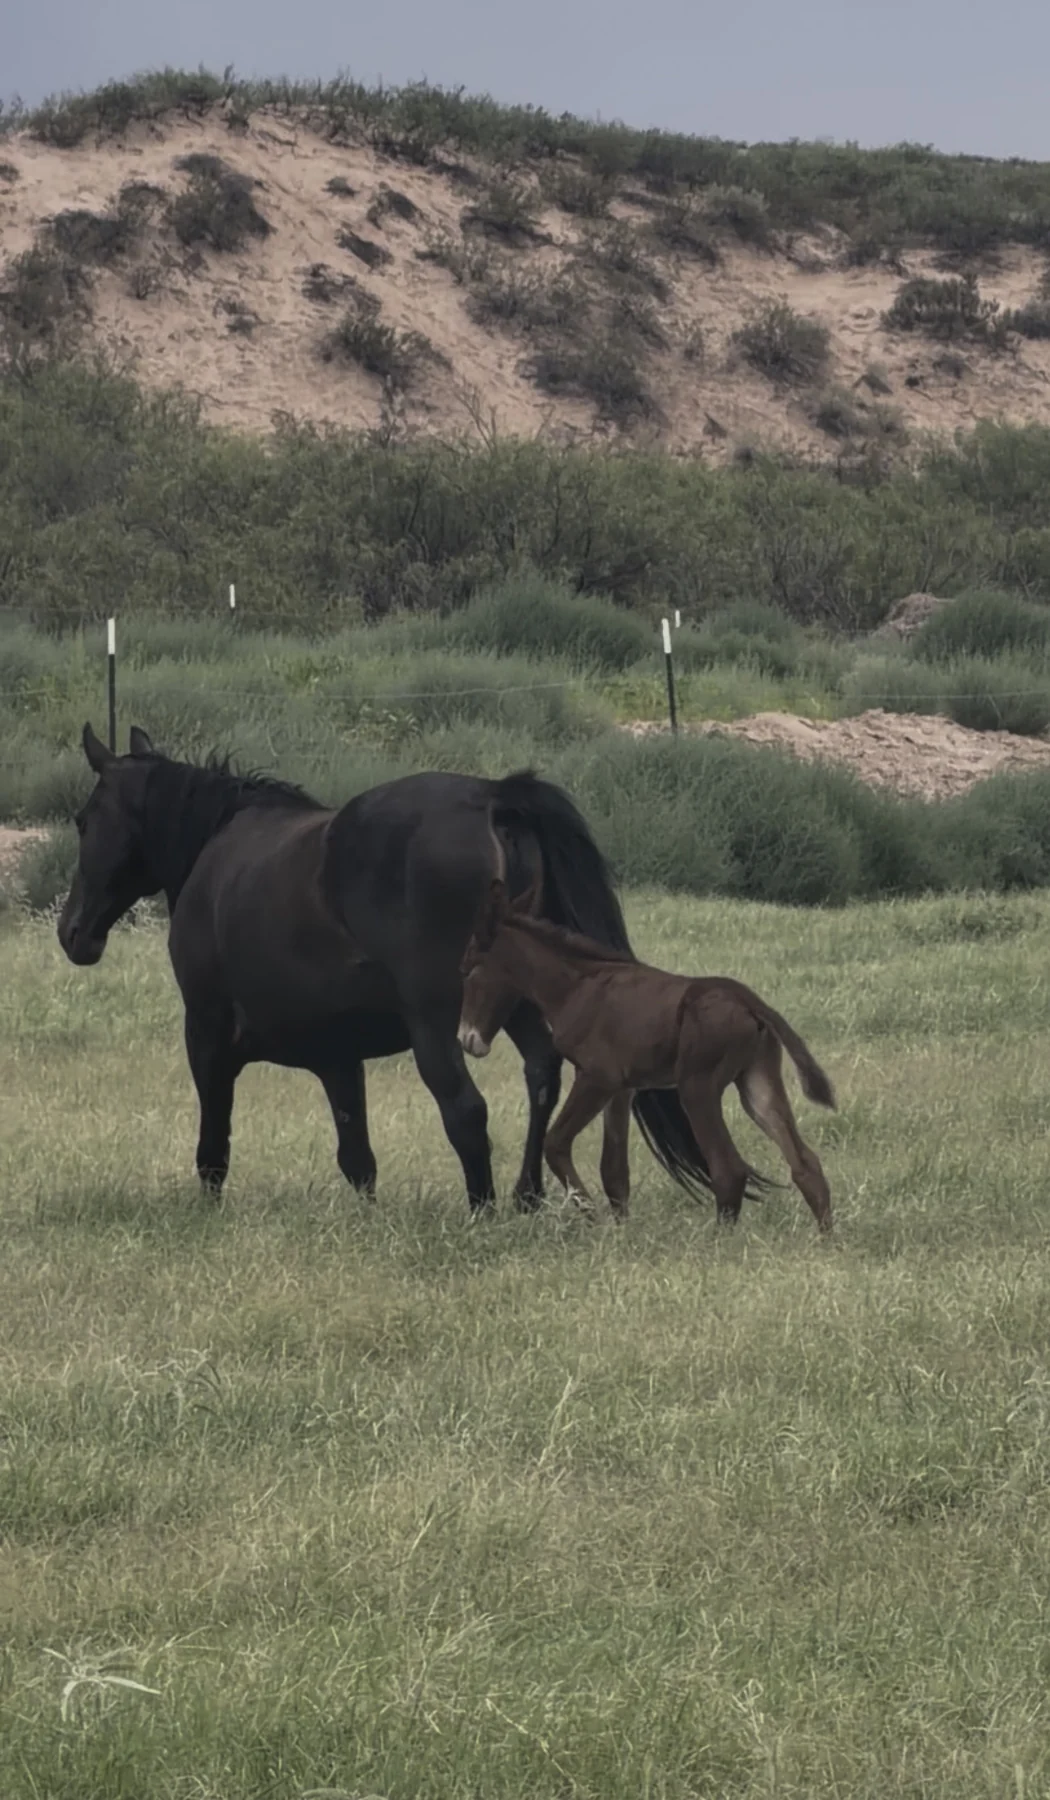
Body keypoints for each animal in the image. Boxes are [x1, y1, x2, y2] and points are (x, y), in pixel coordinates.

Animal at [56, 722, 712, 1214]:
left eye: (84, 821)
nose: (73, 933)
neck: (213, 850)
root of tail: (493, 798)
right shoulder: (338, 1058)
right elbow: (358, 1159)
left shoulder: (207, 1033)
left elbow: (213, 1147)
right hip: (518, 1003)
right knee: (542, 1078)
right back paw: (526, 1198)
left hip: (438, 1021)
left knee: (467, 1110)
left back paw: (483, 1212)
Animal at [459, 874, 835, 1231]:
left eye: (469, 970)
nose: (467, 1039)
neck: (575, 987)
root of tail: (749, 1001)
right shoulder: (623, 1090)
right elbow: (613, 1171)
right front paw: (620, 1232)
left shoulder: (597, 1077)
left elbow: (555, 1143)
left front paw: (591, 1216)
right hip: (757, 1081)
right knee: (805, 1164)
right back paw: (826, 1239)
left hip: (697, 1086)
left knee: (729, 1169)